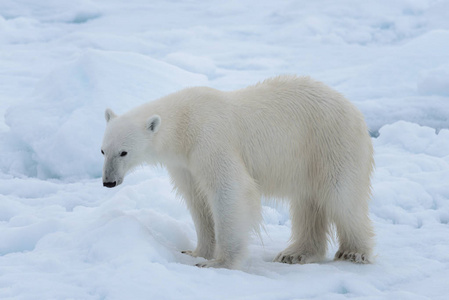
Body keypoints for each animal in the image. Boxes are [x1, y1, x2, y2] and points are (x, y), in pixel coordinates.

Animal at [101, 75, 374, 270]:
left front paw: (218, 262)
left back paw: (354, 251)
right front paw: (195, 251)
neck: (184, 123)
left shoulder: (210, 139)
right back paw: (295, 253)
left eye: (123, 152)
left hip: (330, 143)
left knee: (342, 196)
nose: (108, 182)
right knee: (308, 203)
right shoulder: (185, 164)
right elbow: (198, 202)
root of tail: (353, 109)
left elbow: (229, 190)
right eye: (103, 150)